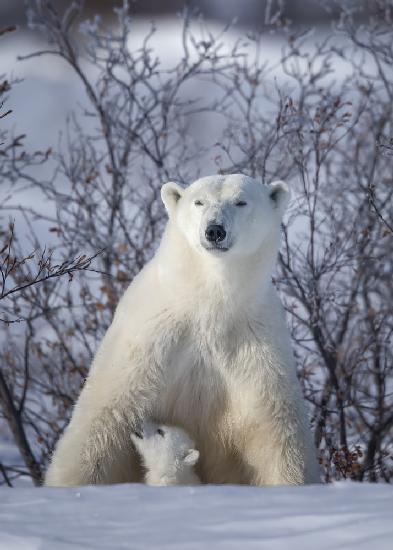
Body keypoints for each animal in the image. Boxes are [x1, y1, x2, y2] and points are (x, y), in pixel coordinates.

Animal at [45, 175, 318, 490]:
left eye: (241, 201)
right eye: (198, 201)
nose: (215, 230)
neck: (209, 299)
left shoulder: (255, 343)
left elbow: (277, 430)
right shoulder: (151, 338)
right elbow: (103, 421)